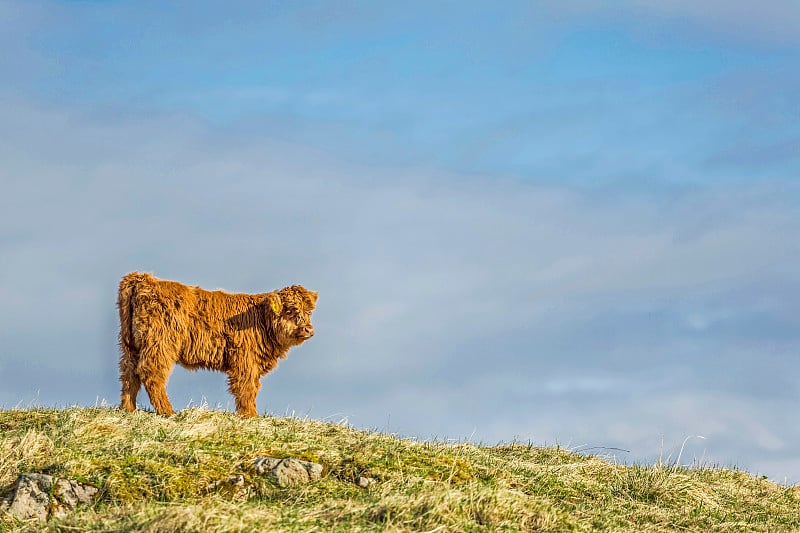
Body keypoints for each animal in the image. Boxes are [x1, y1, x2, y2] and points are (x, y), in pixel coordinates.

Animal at [117, 272, 318, 418]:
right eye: (290, 310)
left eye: (309, 312)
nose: (308, 329)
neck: (261, 319)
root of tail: (144, 279)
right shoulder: (244, 362)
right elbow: (247, 389)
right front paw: (250, 416)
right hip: (160, 344)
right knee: (151, 373)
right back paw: (168, 412)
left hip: (131, 346)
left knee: (129, 373)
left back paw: (128, 409)